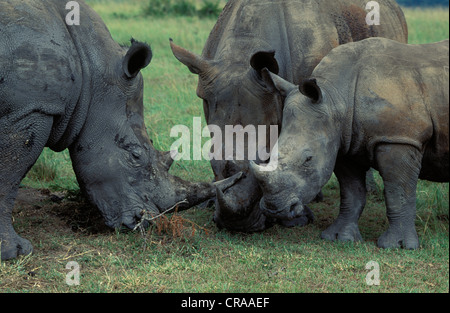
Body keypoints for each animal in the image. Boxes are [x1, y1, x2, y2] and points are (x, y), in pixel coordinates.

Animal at [0, 0, 243, 260]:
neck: (90, 69)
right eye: (135, 155)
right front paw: (13, 252)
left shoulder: (29, 106)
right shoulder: (31, 108)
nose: (144, 222)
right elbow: (9, 175)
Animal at [251, 37, 448, 247]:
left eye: (308, 159)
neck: (335, 99)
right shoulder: (344, 143)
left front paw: (396, 245)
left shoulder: (399, 138)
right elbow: (351, 192)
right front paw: (339, 237)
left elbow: (398, 192)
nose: (274, 208)